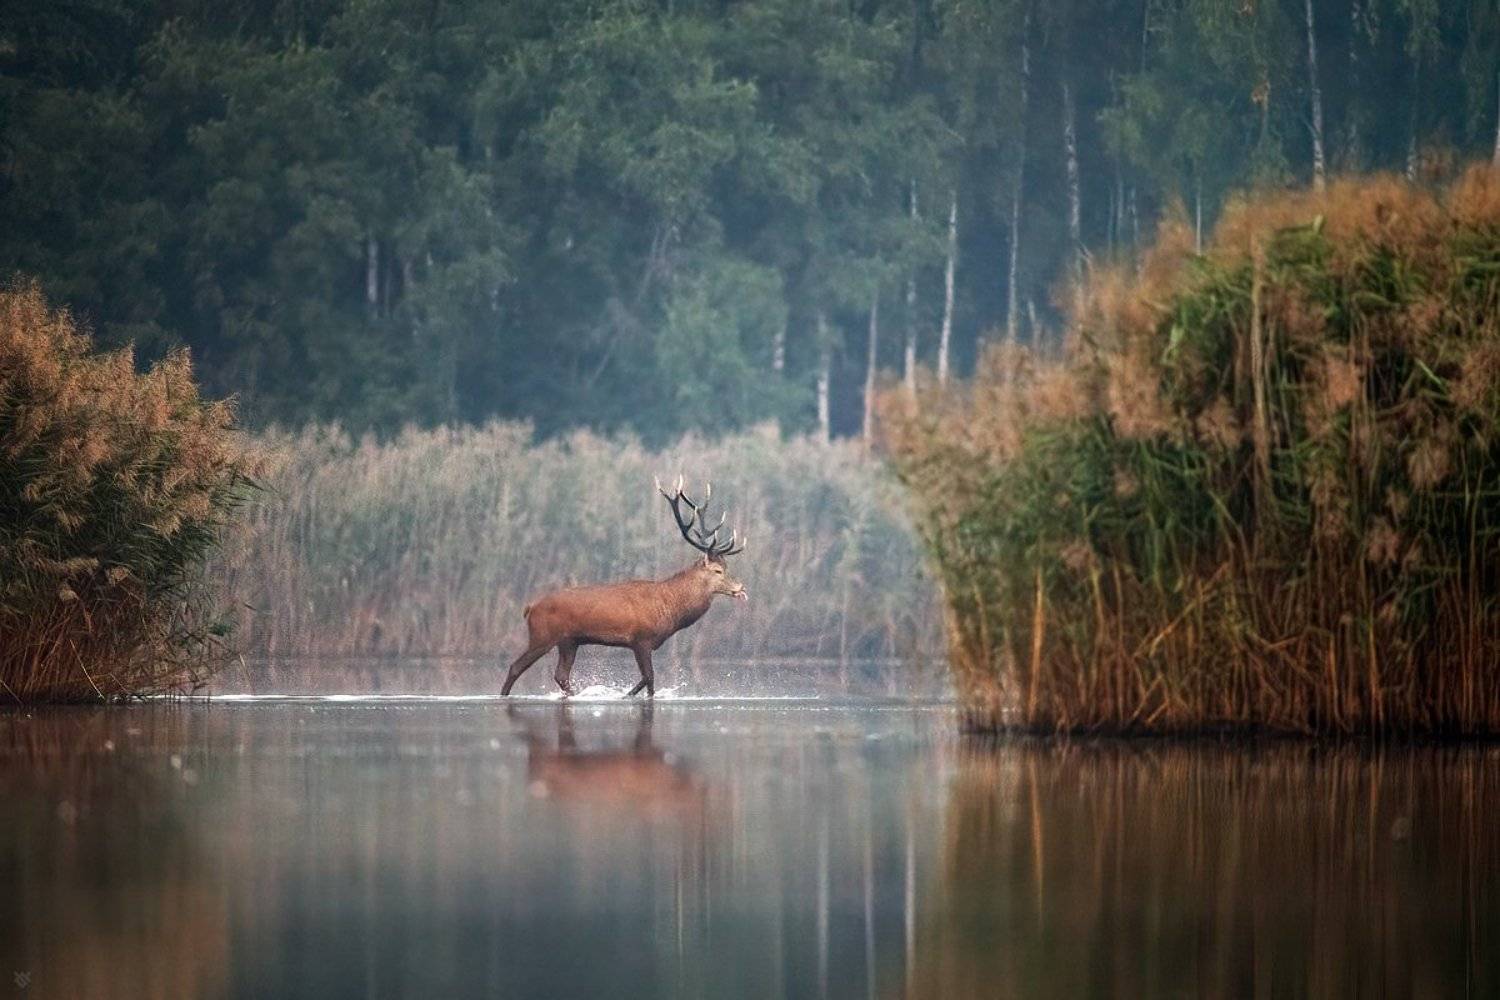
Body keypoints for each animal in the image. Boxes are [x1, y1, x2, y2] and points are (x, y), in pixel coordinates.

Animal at [500, 476, 748, 697]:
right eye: (717, 571)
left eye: (726, 566)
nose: (741, 588)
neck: (670, 608)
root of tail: (530, 608)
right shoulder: (641, 640)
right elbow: (649, 679)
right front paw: (626, 695)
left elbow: (646, 681)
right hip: (542, 635)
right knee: (516, 666)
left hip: (568, 641)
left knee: (561, 675)